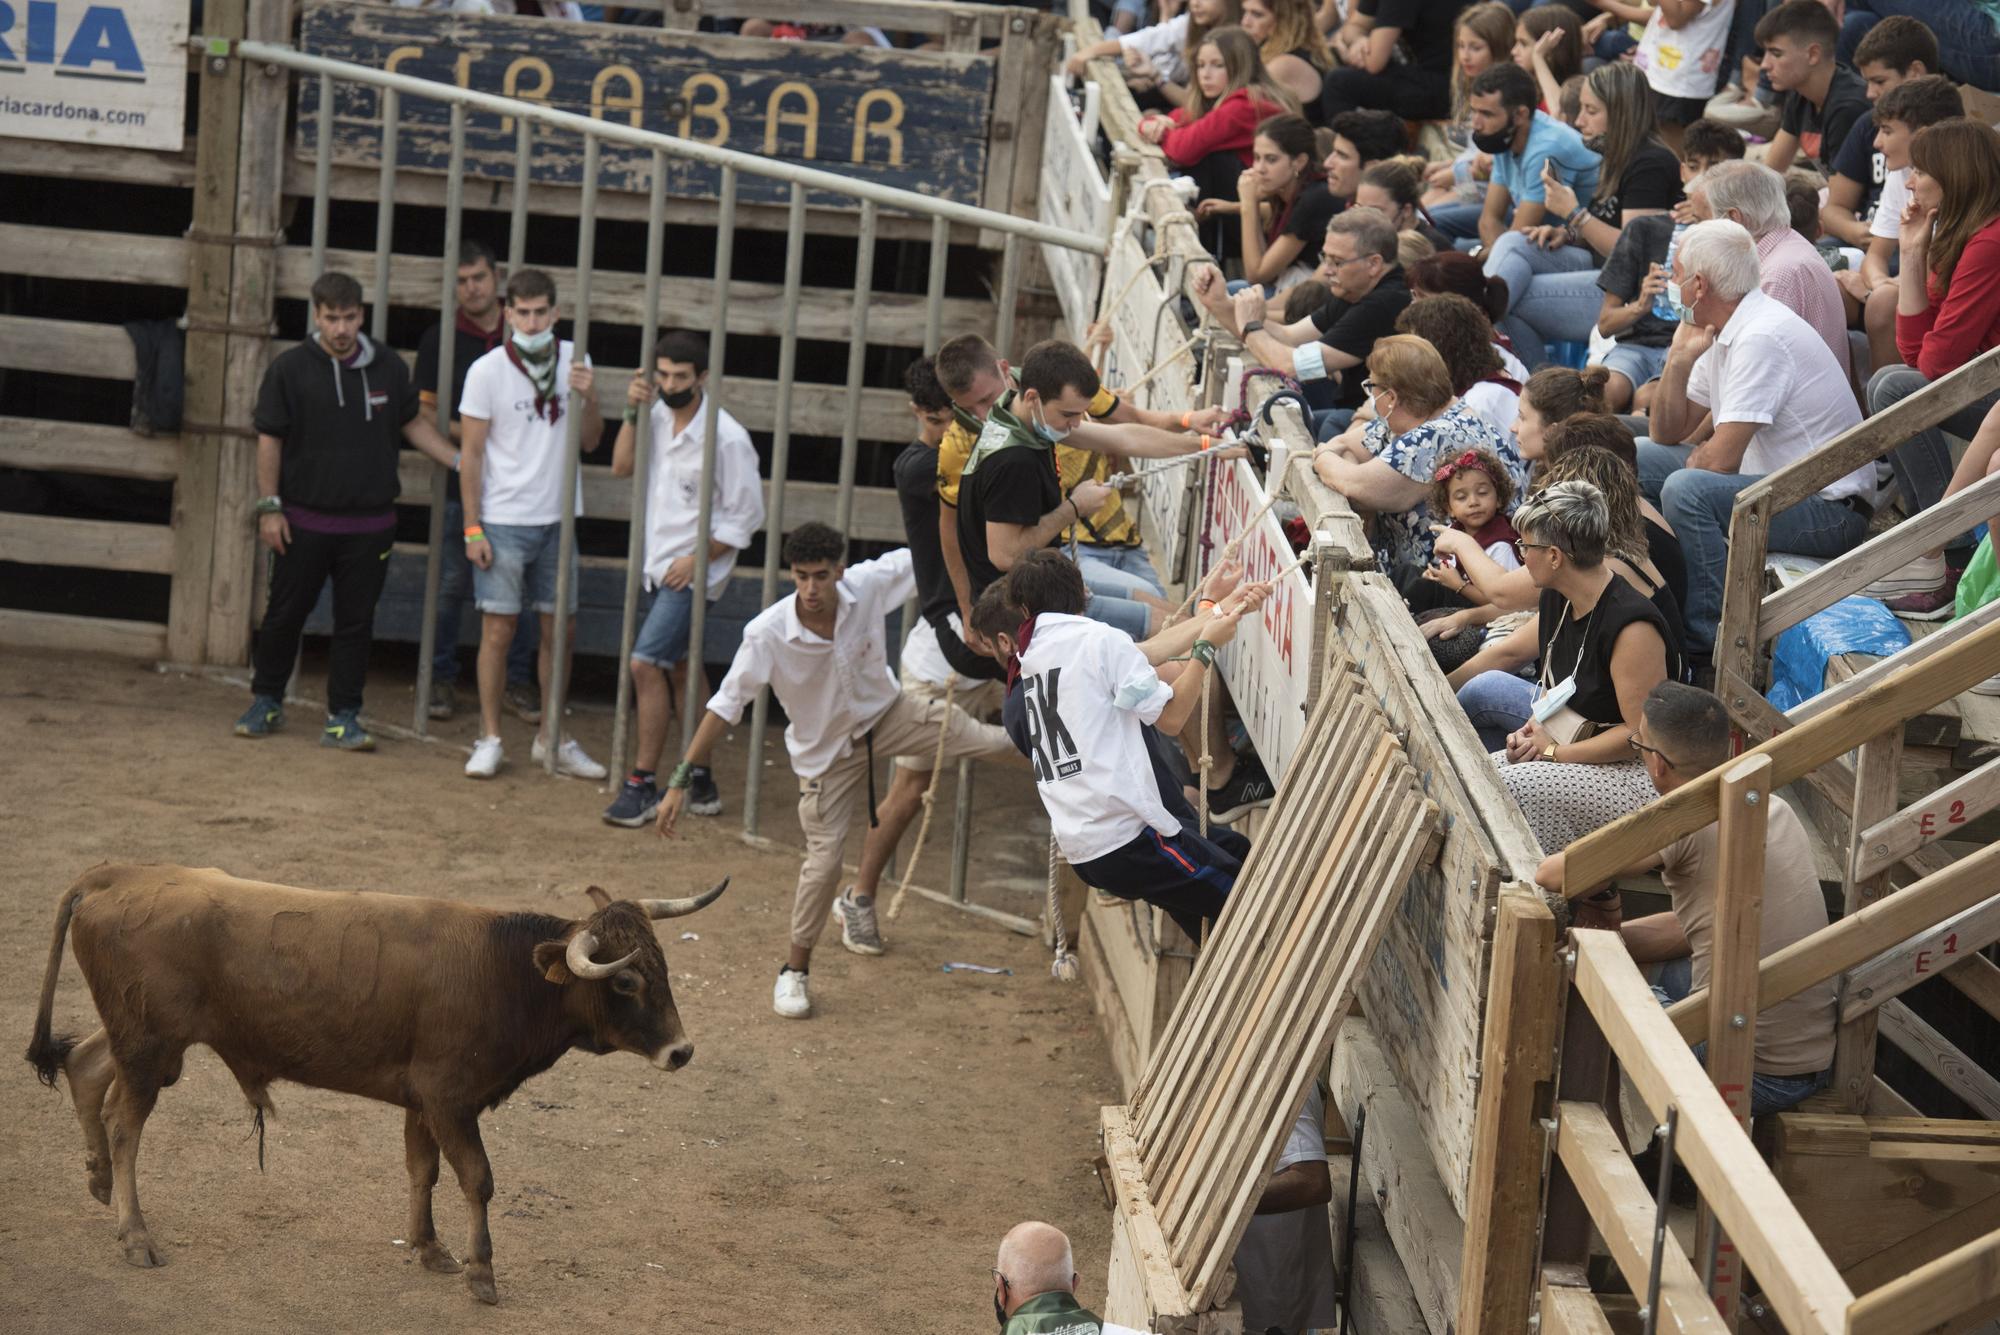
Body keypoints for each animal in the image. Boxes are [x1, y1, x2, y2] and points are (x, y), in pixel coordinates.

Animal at [25, 859, 728, 1311]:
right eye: (626, 981)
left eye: (664, 967)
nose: (683, 1051)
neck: (503, 970)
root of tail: (114, 877)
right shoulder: (451, 1099)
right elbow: (477, 1179)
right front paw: (481, 1272)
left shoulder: (424, 1101)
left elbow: (424, 1171)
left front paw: (430, 1247)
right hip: (150, 1048)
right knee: (124, 1124)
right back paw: (135, 1234)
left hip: (140, 1041)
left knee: (85, 1065)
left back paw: (98, 1181)